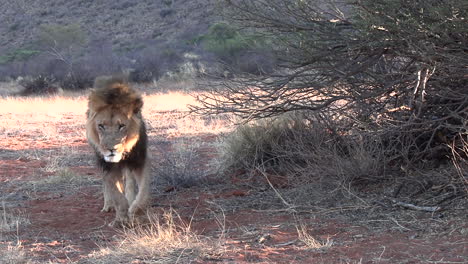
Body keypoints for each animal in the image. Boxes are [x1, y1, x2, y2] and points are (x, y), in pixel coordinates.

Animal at [84, 76, 150, 227]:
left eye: (121, 126)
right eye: (101, 126)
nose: (111, 149)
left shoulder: (139, 161)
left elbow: (144, 192)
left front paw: (134, 210)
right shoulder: (108, 166)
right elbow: (117, 195)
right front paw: (121, 219)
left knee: (129, 181)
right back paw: (108, 205)